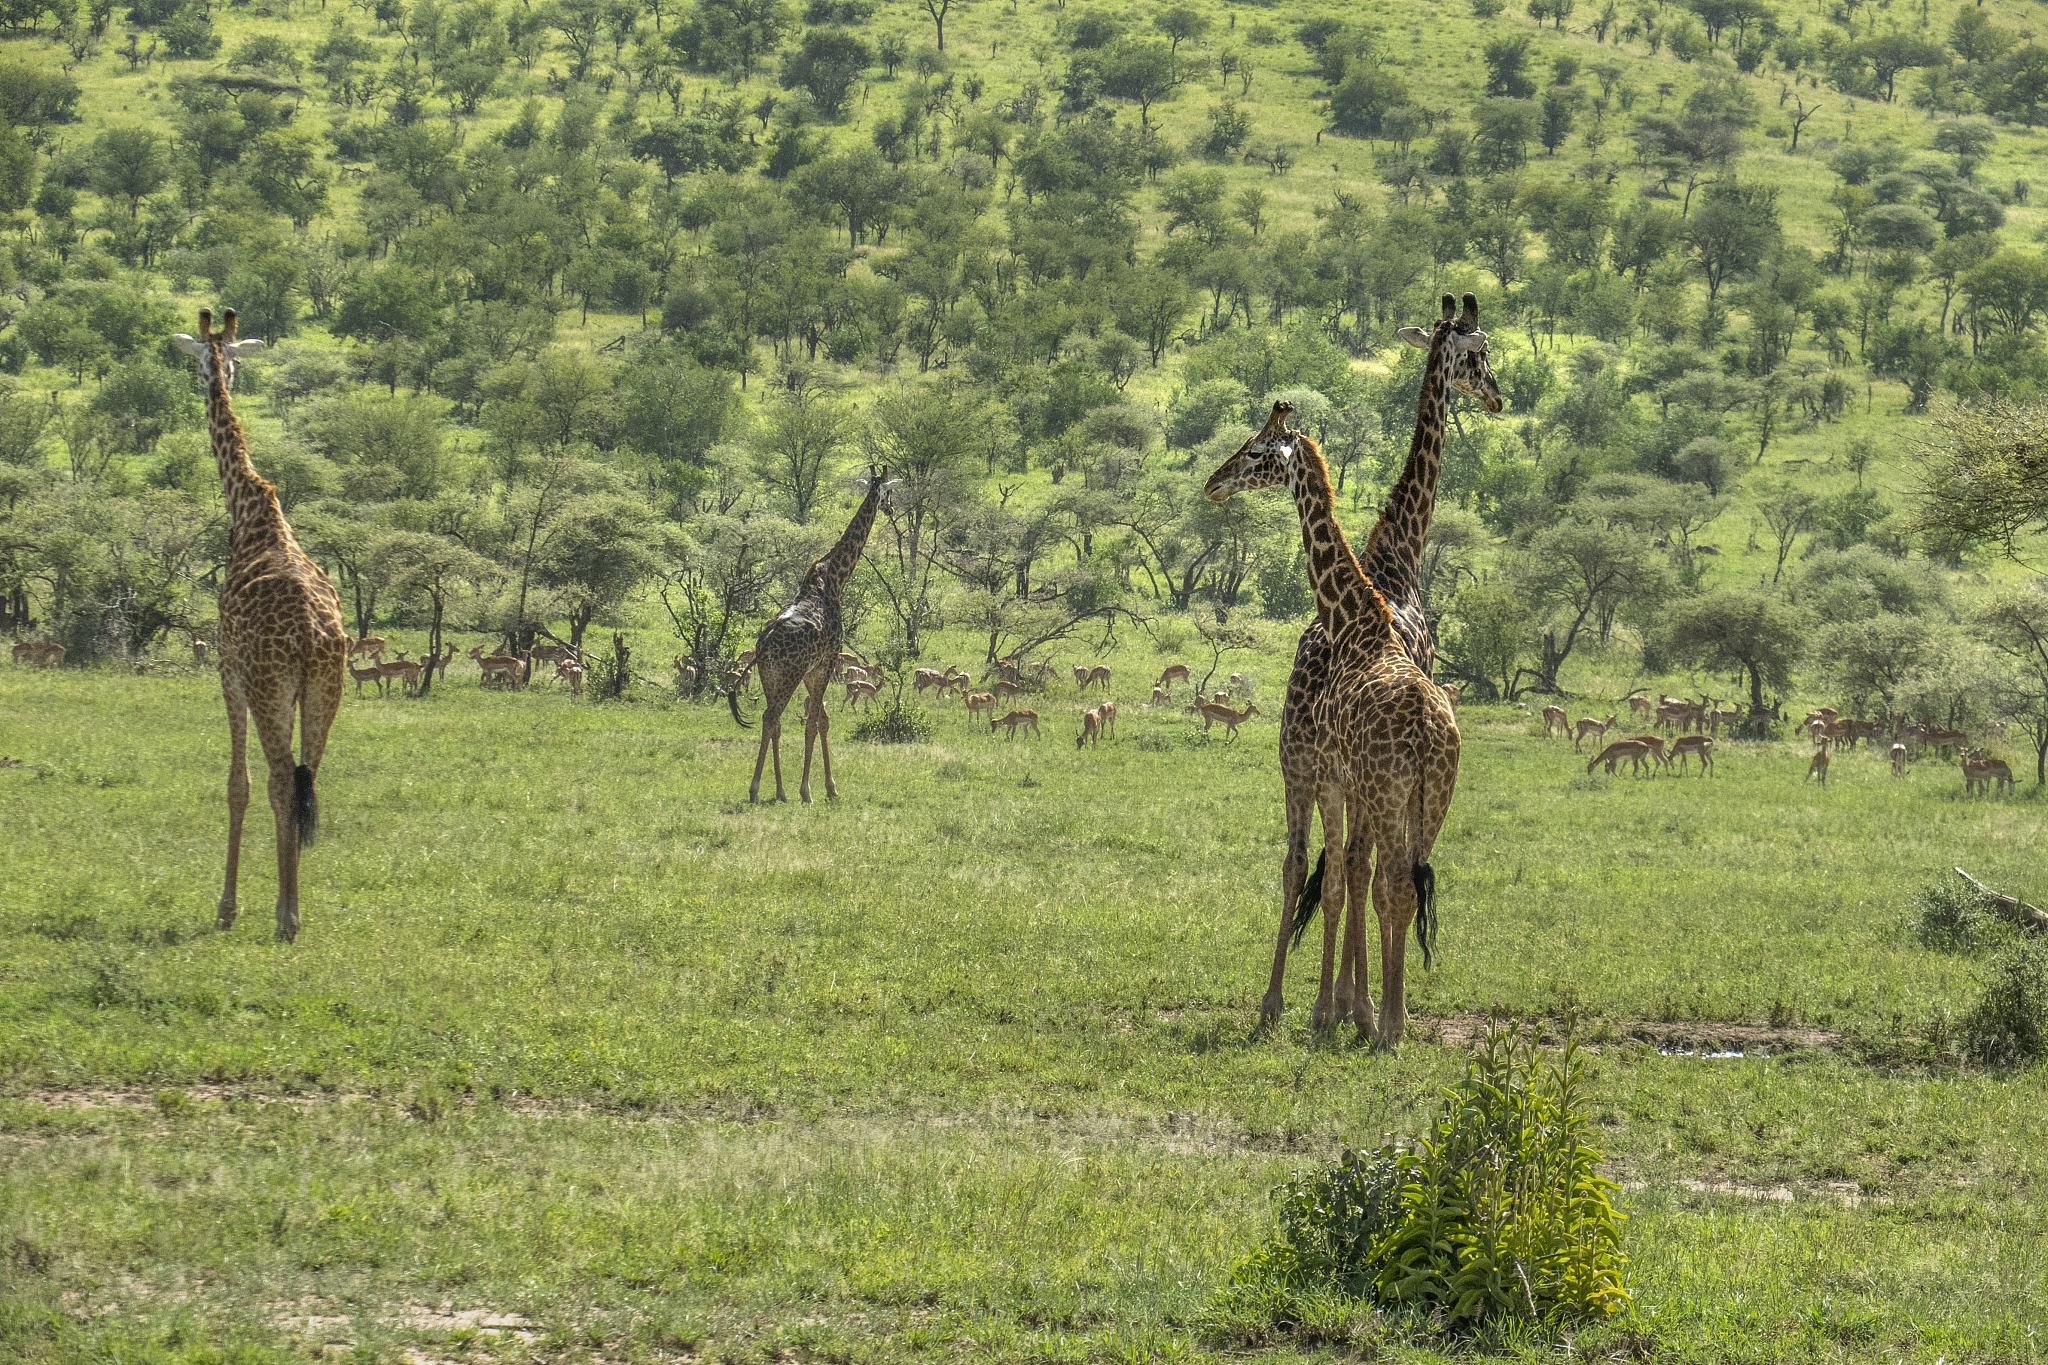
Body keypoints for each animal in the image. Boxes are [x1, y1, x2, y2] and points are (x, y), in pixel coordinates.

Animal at [173, 309, 348, 943]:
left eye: (211, 362)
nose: (215, 376)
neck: (251, 513)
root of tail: (312, 640)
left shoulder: (228, 673)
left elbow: (238, 785)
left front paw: (226, 908)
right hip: (325, 690)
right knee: (307, 777)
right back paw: (293, 909)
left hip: (272, 690)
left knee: (278, 781)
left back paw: (286, 917)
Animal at [731, 467, 889, 803]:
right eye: (889, 492)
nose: (891, 508)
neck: (834, 579)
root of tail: (764, 644)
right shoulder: (826, 661)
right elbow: (814, 722)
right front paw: (808, 790)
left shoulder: (812, 669)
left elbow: (822, 721)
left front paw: (829, 787)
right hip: (787, 674)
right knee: (771, 717)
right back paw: (756, 789)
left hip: (770, 675)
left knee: (773, 720)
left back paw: (778, 791)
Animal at [1214, 400, 1465, 1048]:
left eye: (1256, 451)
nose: (1214, 483)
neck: (1354, 620)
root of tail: (1428, 734)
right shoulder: (1352, 784)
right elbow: (1350, 876)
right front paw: (1346, 1009)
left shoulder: (1333, 776)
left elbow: (1333, 880)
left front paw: (1329, 1012)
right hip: (1431, 799)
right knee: (1405, 882)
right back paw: (1389, 1021)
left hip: (1381, 790)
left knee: (1386, 881)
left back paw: (1384, 1027)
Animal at [1258, 295, 1499, 1029]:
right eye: (1480, 353)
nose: (1499, 395)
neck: (1399, 552)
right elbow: (1374, 874)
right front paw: (1357, 1003)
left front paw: (1348, 1001)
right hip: (1334, 772)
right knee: (1361, 869)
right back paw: (1350, 1007)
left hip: (1312, 767)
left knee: (1321, 862)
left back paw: (1310, 1003)